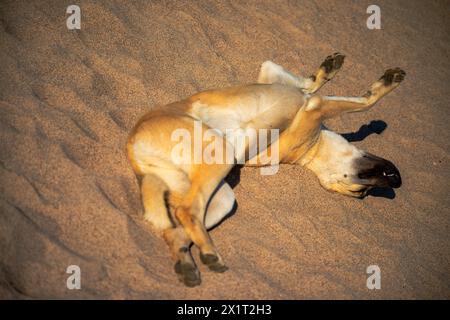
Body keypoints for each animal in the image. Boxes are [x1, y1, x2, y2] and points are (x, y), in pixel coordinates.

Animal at [125, 53, 404, 286]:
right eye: (361, 192)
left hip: (220, 196)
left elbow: (308, 85)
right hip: (219, 155)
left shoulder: (293, 91)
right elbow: (361, 100)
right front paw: (377, 81)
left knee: (178, 227)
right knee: (185, 212)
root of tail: (133, 145)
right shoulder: (311, 103)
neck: (310, 150)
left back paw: (193, 261)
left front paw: (326, 72)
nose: (397, 180)